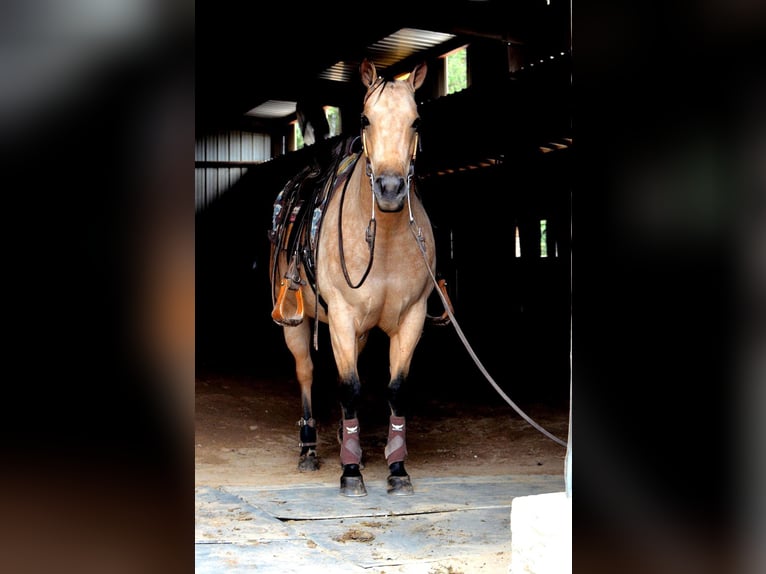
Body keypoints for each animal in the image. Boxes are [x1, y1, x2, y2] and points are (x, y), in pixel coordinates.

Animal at [268, 59, 438, 500]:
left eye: (416, 121)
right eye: (365, 119)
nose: (391, 189)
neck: (386, 241)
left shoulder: (412, 317)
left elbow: (395, 388)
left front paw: (396, 467)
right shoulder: (342, 317)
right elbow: (349, 387)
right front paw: (350, 472)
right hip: (296, 323)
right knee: (307, 372)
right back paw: (309, 448)